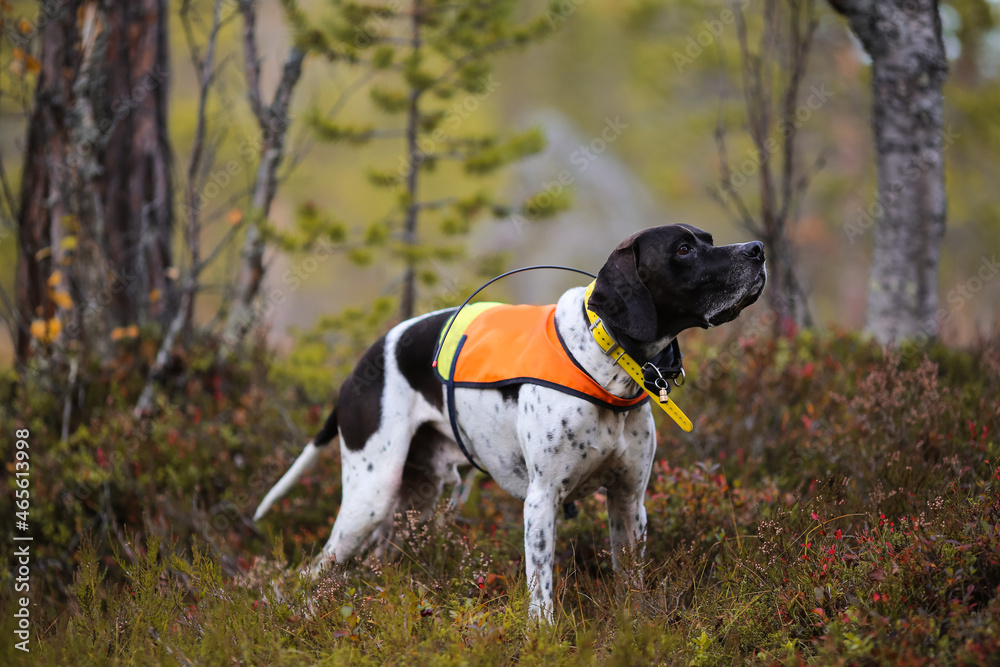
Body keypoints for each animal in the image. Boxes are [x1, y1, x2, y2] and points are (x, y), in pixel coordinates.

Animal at [256, 226, 764, 620]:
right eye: (684, 248)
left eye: (708, 240)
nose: (757, 249)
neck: (608, 363)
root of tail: (362, 364)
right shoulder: (542, 501)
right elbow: (541, 591)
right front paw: (545, 639)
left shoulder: (628, 501)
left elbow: (631, 584)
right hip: (370, 497)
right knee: (313, 572)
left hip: (416, 500)